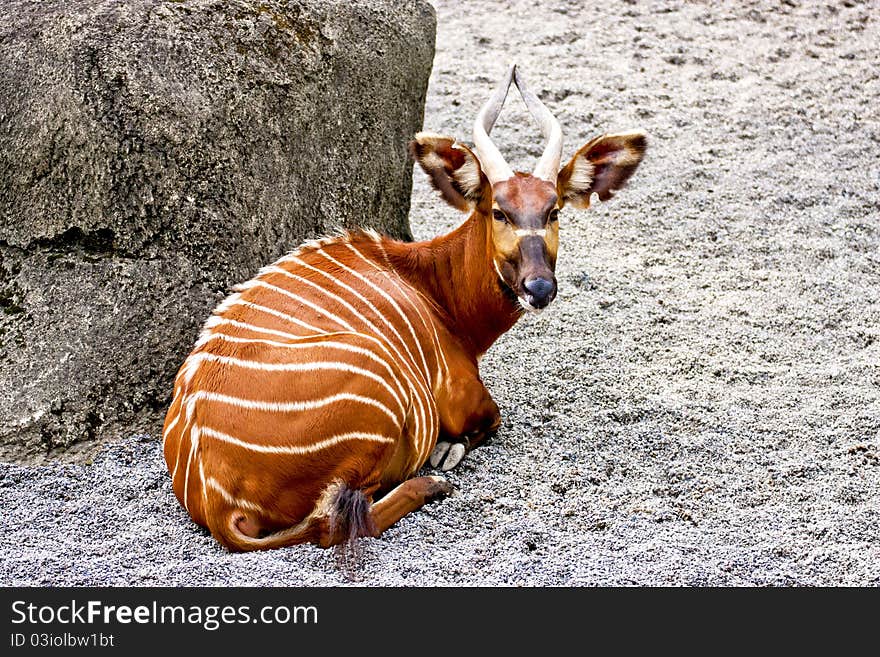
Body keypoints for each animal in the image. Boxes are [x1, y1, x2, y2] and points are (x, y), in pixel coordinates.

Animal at [162, 65, 648, 548]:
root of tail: (219, 504)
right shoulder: (465, 399)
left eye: (554, 210)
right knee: (335, 522)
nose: (539, 288)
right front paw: (445, 454)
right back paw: (430, 483)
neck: (429, 284)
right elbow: (488, 423)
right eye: (498, 211)